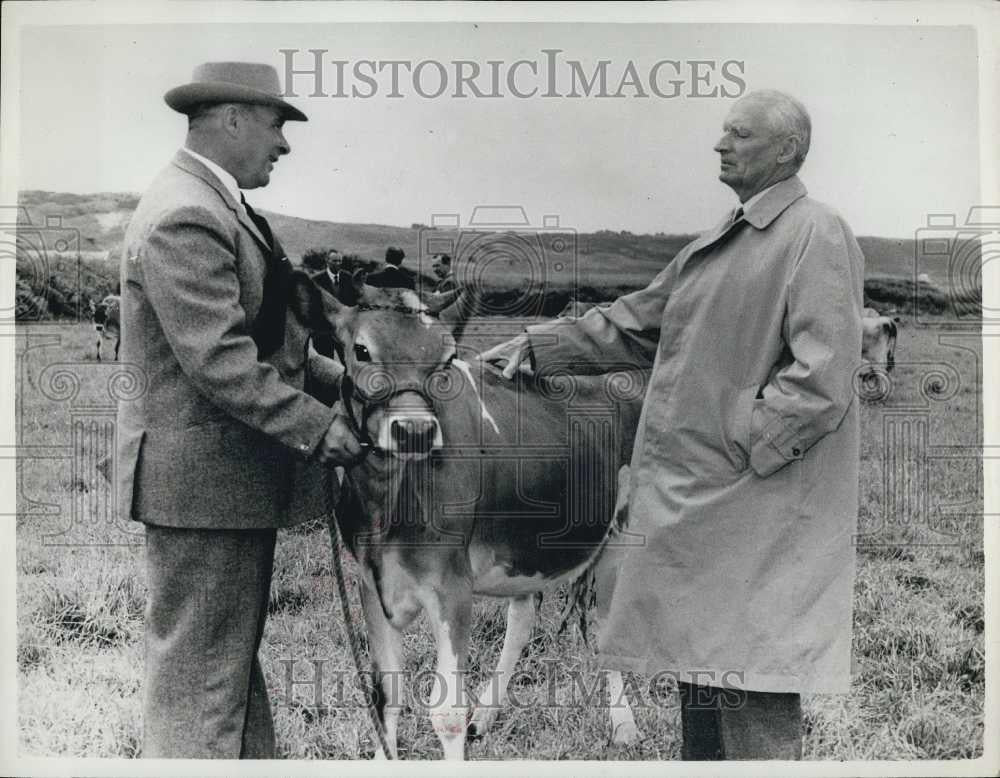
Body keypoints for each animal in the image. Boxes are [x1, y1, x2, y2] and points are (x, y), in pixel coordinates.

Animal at [292, 270, 648, 756]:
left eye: (446, 360)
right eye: (361, 350)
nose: (415, 431)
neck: (389, 506)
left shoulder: (452, 586)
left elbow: (446, 713)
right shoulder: (370, 581)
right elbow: (386, 699)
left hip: (621, 536)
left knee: (605, 622)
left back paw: (623, 724)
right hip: (527, 543)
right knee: (523, 618)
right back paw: (488, 715)